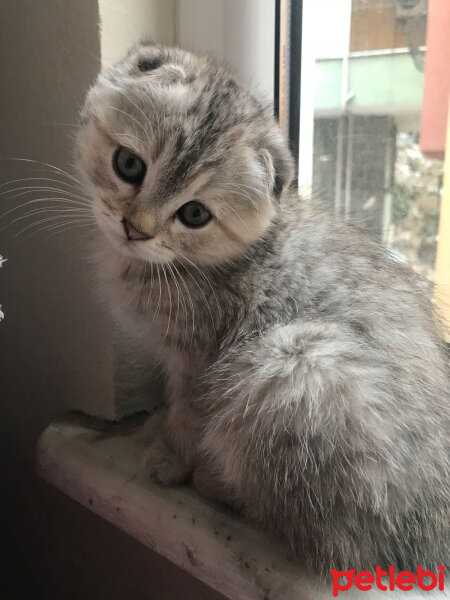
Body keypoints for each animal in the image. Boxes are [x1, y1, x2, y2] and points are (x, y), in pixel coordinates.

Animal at [75, 43, 448, 576]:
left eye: (194, 214)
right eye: (128, 164)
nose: (135, 229)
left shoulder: (202, 358)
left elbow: (189, 412)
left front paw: (172, 457)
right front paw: (158, 429)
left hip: (291, 361)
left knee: (324, 533)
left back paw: (215, 482)